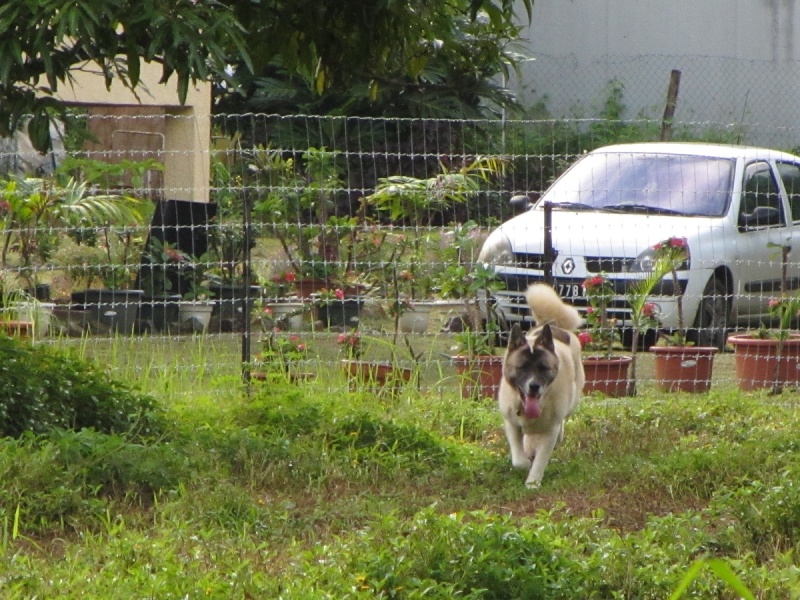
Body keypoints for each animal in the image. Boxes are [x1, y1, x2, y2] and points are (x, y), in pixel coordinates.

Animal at [496, 282, 584, 488]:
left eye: (543, 368)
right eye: (522, 367)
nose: (534, 386)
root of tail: (556, 325)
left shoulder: (550, 431)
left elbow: (541, 459)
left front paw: (533, 483)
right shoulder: (511, 423)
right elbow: (519, 460)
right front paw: (525, 462)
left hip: (571, 402)